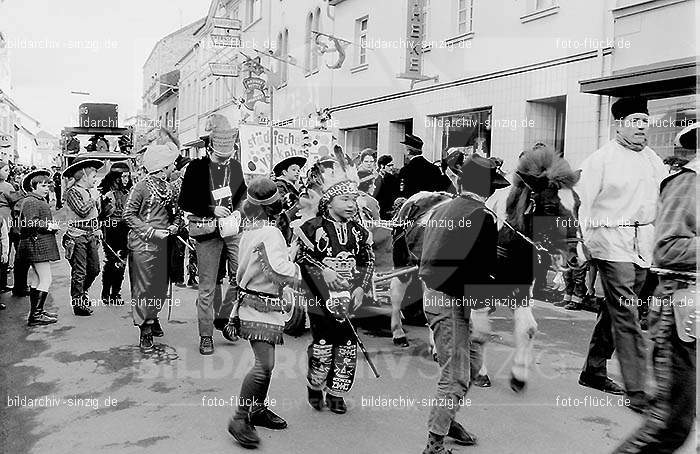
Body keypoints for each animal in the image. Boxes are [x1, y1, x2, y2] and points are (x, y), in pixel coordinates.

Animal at [388, 147, 580, 392]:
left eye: (578, 204)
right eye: (549, 207)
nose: (576, 257)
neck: (502, 239)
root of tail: (412, 199)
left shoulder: (520, 291)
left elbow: (527, 329)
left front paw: (518, 375)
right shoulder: (477, 292)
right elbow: (480, 332)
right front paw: (480, 372)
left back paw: (434, 347)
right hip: (402, 263)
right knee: (396, 295)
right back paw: (398, 333)